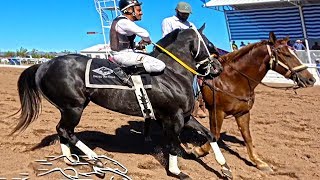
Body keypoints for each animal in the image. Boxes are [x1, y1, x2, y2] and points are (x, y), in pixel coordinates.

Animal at [10, 25, 230, 179]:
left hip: (68, 108)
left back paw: (71, 159)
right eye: (209, 44)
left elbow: (210, 134)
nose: (218, 68)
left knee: (63, 131)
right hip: (74, 107)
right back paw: (96, 162)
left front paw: (225, 167)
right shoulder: (173, 118)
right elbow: (174, 145)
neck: (171, 73)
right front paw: (177, 171)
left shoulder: (185, 116)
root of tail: (44, 65)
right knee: (65, 130)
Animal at [189, 32, 316, 172]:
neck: (232, 80)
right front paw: (199, 150)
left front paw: (258, 162)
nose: (311, 79)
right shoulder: (217, 111)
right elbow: (215, 135)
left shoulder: (243, 113)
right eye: (286, 54)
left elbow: (247, 137)